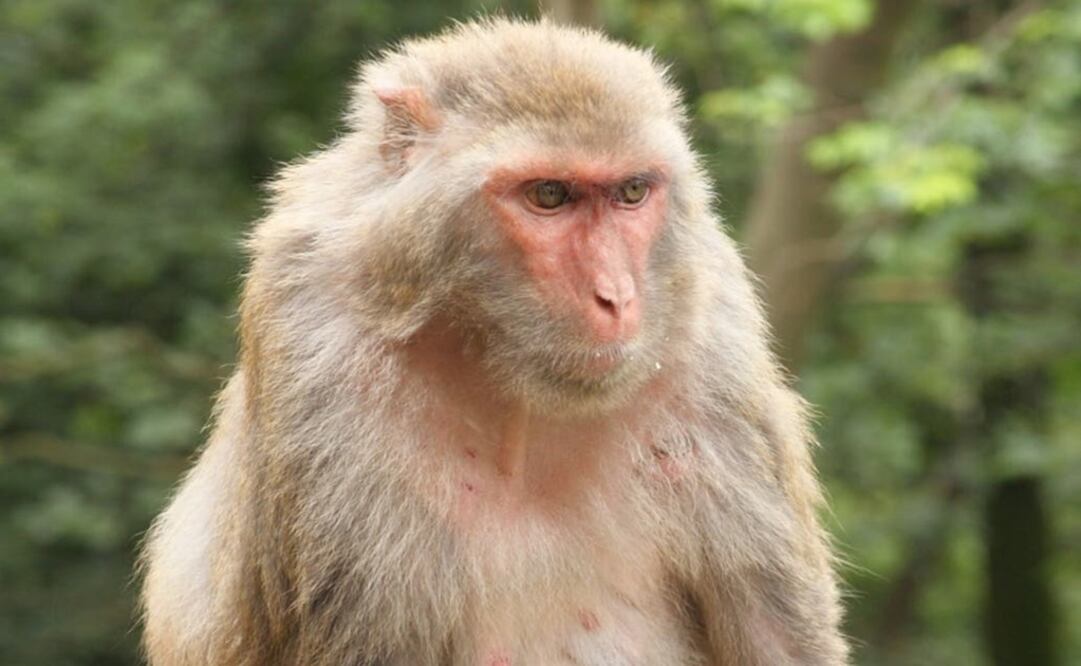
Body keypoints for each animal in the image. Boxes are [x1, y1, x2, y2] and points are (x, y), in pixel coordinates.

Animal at [140, 18, 849, 666]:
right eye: (550, 195)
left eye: (632, 192)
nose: (618, 296)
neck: (511, 385)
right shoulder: (310, 332)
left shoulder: (714, 334)